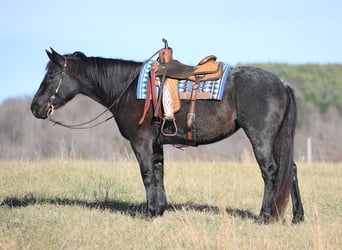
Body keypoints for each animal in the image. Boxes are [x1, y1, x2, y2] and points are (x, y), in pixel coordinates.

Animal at [30, 47, 304, 224]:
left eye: (51, 75)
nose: (35, 108)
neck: (128, 89)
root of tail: (282, 84)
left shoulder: (141, 142)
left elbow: (147, 175)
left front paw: (149, 213)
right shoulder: (156, 144)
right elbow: (159, 173)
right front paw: (159, 210)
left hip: (261, 138)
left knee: (270, 171)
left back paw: (264, 216)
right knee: (290, 169)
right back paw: (298, 217)